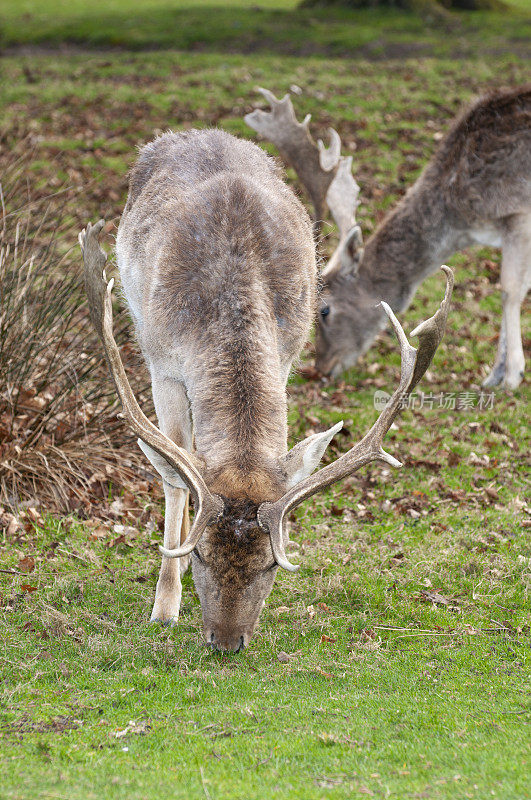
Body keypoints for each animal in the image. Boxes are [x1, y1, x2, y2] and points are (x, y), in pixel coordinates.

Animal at [82, 125, 454, 648]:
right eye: (201, 554)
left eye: (271, 565)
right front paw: (165, 606)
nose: (225, 642)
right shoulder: (162, 362)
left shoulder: (287, 354)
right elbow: (174, 472)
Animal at [246, 86, 531, 390]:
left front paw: (511, 374)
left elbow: (509, 290)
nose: (321, 368)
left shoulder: (517, 212)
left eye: (324, 310)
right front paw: (496, 373)